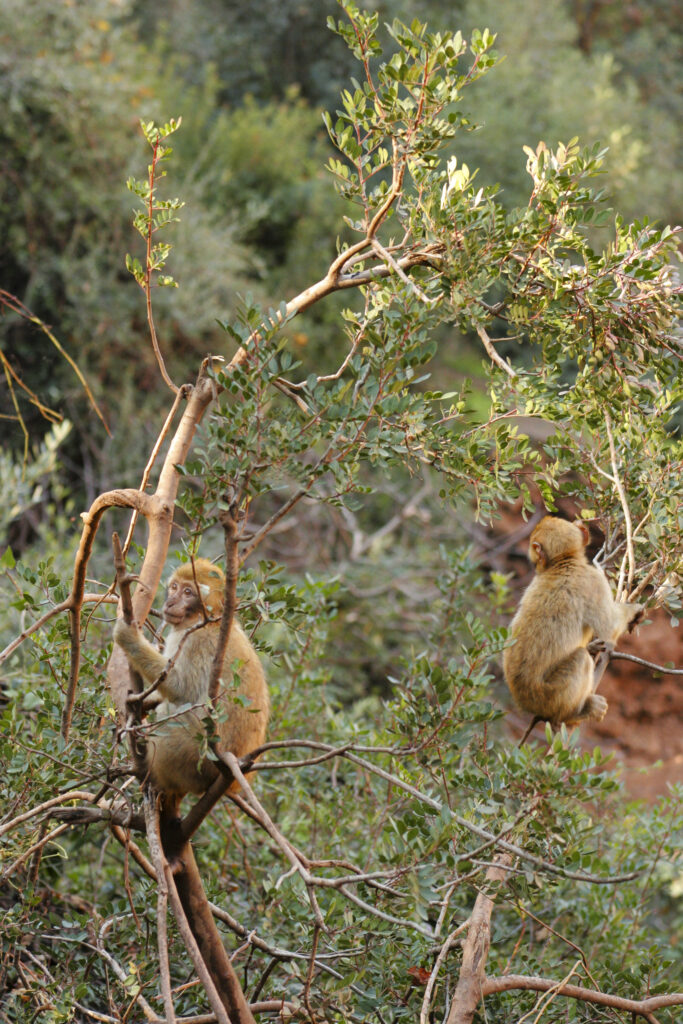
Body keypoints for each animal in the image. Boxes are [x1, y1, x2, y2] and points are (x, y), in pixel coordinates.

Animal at [114, 558, 269, 802]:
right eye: (175, 587)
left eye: (188, 592)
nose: (170, 602)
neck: (209, 622)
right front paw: (145, 702)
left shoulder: (195, 642)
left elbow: (179, 688)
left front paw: (129, 637)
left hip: (195, 759)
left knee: (172, 714)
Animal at [503, 516, 644, 729]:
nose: (536, 566)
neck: (564, 562)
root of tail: (523, 700)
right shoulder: (593, 578)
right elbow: (609, 626)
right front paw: (633, 610)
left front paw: (594, 645)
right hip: (550, 696)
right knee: (580, 659)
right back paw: (575, 714)